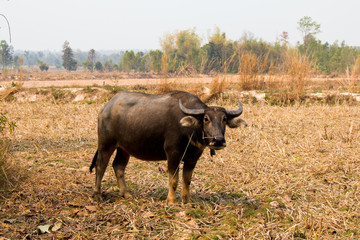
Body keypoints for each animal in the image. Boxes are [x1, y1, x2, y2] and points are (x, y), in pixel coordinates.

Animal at [90, 91, 245, 203]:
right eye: (206, 118)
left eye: (224, 119)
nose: (218, 140)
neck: (190, 129)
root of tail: (105, 108)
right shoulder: (173, 154)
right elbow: (174, 180)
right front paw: (171, 201)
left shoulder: (192, 158)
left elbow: (187, 180)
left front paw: (186, 200)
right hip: (106, 144)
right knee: (100, 166)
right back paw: (97, 195)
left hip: (124, 148)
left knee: (118, 166)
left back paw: (126, 194)